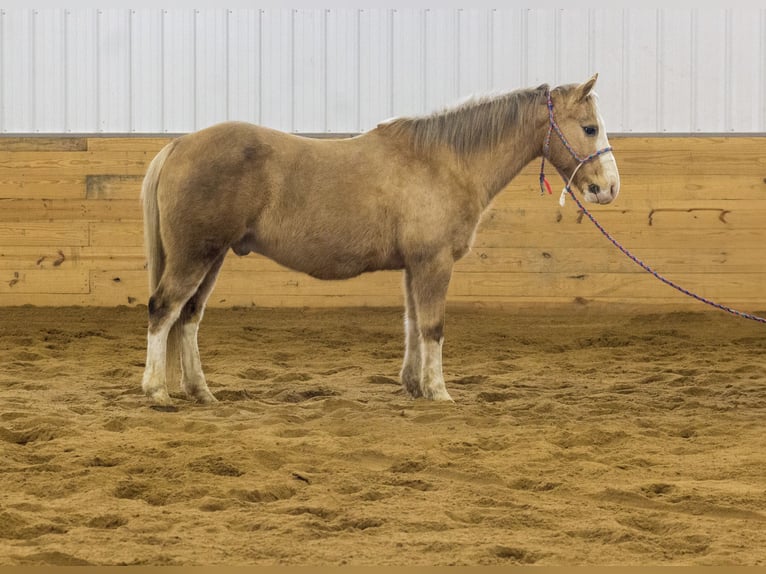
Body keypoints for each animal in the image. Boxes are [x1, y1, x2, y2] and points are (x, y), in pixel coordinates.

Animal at [141, 76, 620, 408]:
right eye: (589, 128)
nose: (608, 188)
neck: (444, 161)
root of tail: (179, 146)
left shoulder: (415, 265)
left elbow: (412, 324)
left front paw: (414, 386)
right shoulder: (434, 262)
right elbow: (432, 326)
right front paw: (439, 392)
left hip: (213, 256)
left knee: (189, 317)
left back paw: (201, 392)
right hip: (194, 256)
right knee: (164, 310)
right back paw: (157, 392)